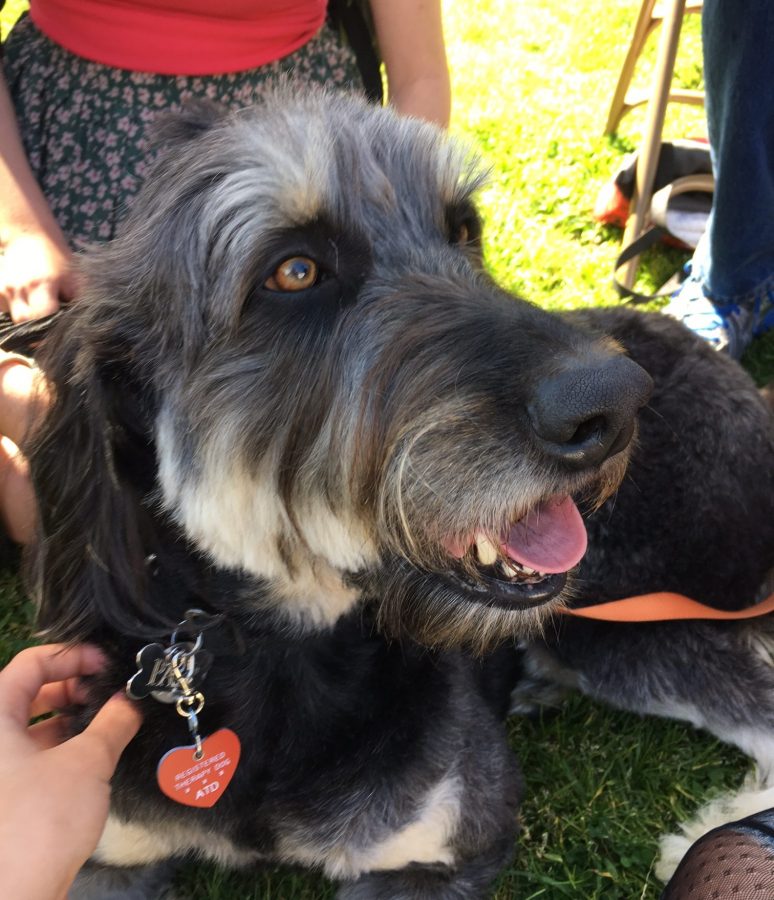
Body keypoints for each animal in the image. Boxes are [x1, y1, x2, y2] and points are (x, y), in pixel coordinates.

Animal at [22, 86, 774, 900]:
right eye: (294, 272)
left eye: (463, 229)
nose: (614, 405)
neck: (278, 656)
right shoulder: (101, 851)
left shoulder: (441, 851)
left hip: (630, 617)